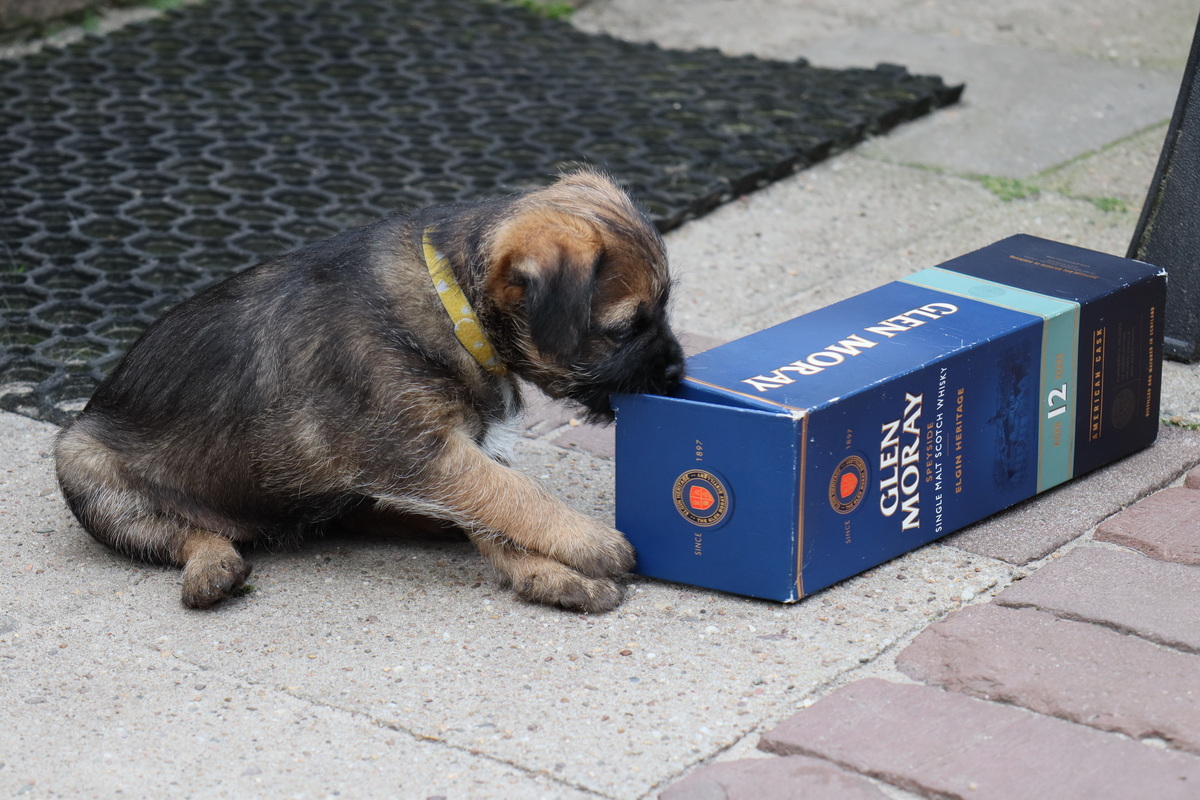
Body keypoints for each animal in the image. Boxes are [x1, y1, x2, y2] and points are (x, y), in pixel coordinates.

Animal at [54, 169, 685, 613]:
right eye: (626, 328)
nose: (678, 373)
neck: (452, 299)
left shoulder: (445, 457)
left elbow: (495, 508)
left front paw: (547, 574)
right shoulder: (421, 452)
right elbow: (512, 493)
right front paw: (588, 541)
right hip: (82, 466)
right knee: (184, 535)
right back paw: (212, 565)